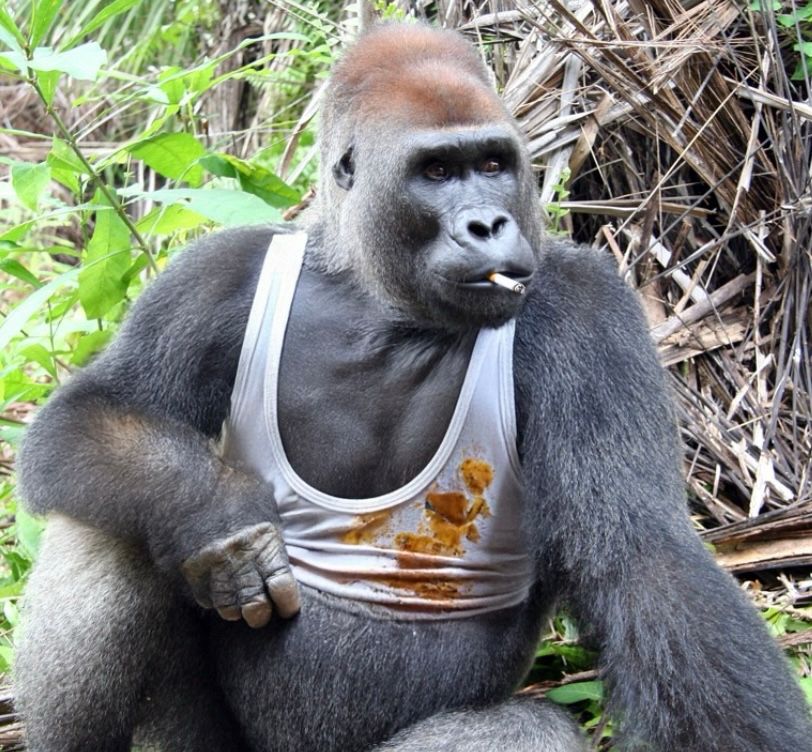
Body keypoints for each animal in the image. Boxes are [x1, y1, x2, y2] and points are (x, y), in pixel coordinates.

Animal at [13, 22, 812, 752]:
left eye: (492, 163)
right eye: (436, 173)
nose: (488, 224)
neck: (382, 301)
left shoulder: (590, 308)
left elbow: (641, 559)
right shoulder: (217, 273)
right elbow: (86, 414)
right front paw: (217, 516)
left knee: (526, 731)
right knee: (111, 520)